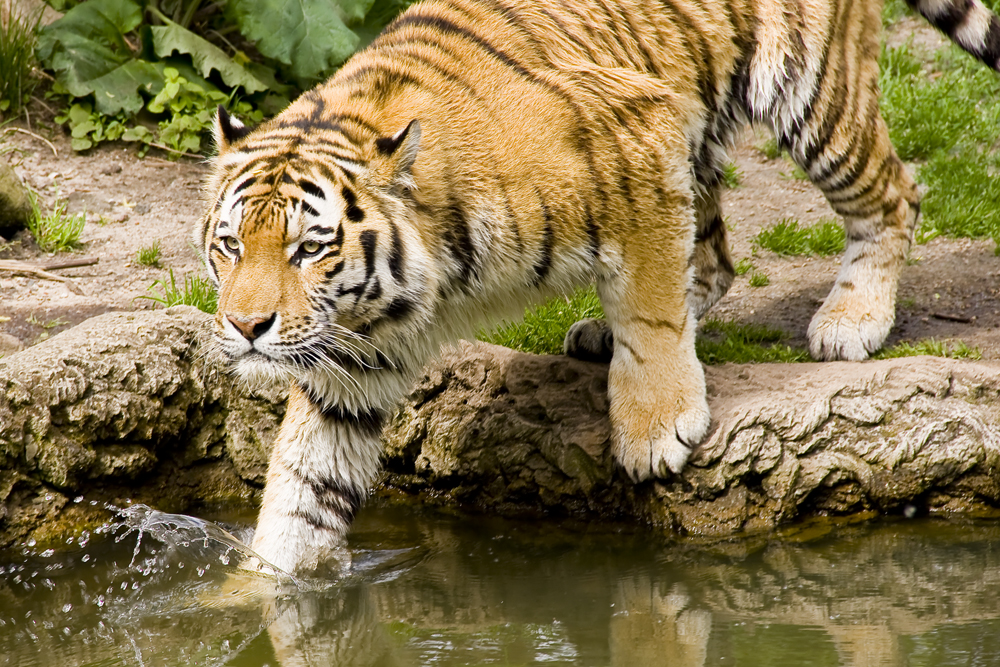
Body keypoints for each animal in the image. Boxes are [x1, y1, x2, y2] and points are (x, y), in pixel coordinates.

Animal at [197, 0, 1000, 576]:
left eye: (309, 249)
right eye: (230, 246)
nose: (245, 327)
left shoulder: (639, 137)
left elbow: (651, 311)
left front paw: (653, 430)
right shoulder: (353, 359)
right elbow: (305, 486)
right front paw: (270, 589)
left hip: (809, 86)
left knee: (894, 196)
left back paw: (852, 318)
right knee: (713, 255)